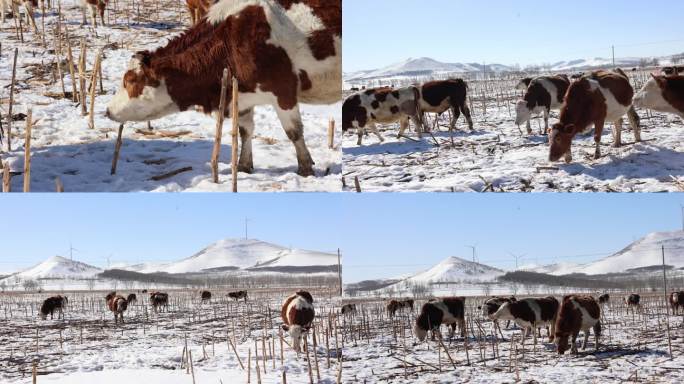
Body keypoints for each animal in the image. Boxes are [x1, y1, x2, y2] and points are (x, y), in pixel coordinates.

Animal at [107, 0, 342, 177]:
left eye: (129, 80)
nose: (107, 110)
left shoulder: (283, 90)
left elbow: (294, 132)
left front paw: (305, 168)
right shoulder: (242, 95)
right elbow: (245, 131)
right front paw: (243, 166)